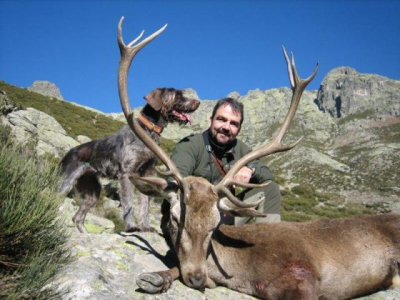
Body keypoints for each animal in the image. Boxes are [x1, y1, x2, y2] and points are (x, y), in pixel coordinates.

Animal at [58, 88, 200, 233]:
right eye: (177, 94)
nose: (197, 102)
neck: (148, 131)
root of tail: (68, 153)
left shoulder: (148, 172)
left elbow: (145, 202)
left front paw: (145, 226)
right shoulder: (126, 173)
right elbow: (128, 203)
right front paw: (131, 226)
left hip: (93, 192)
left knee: (78, 218)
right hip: (65, 183)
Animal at [115, 17, 400, 300]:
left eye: (215, 224)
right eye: (174, 218)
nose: (196, 277)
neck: (245, 274)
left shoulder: (304, 274)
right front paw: (156, 277)